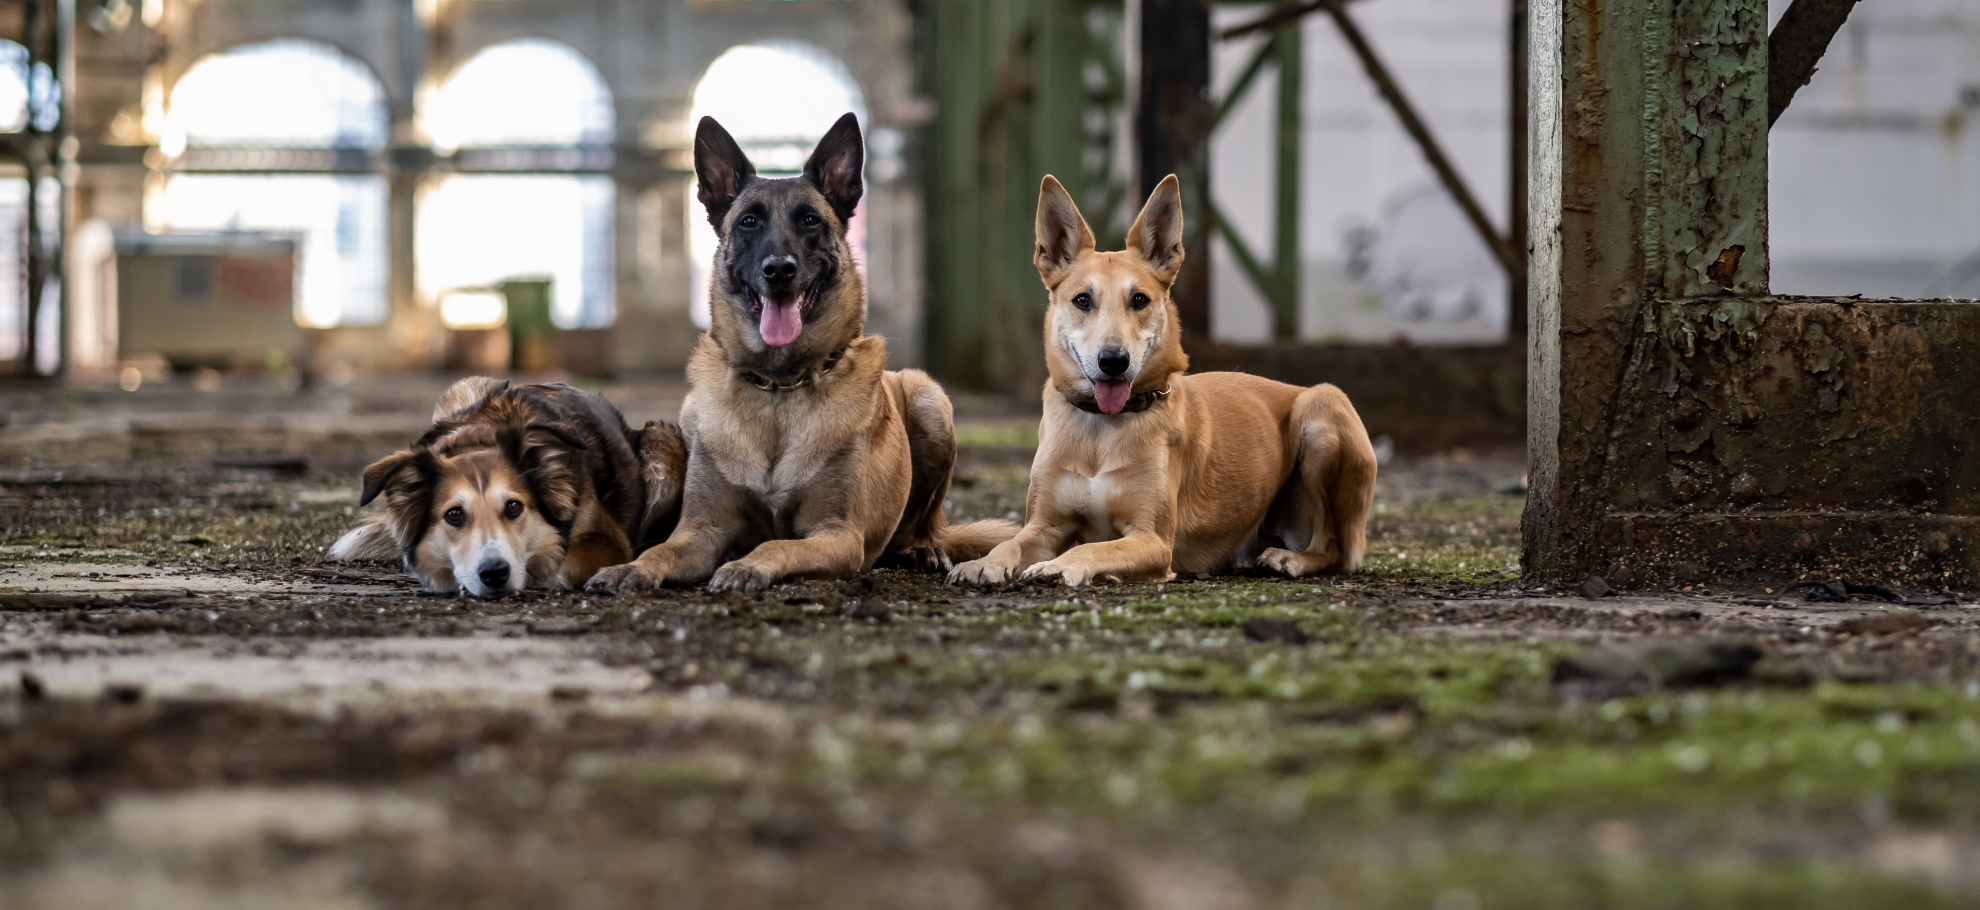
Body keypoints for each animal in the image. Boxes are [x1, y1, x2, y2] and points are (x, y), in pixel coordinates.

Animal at [332, 375, 689, 597]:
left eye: (514, 507)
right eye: (454, 515)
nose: (493, 573)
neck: (481, 436)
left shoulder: (608, 541)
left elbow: (561, 560)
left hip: (663, 441)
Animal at [578, 111, 1013, 597]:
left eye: (809, 220)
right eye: (749, 221)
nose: (779, 270)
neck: (779, 388)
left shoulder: (837, 535)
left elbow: (775, 544)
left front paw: (745, 566)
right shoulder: (701, 530)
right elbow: (660, 551)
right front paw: (629, 568)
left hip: (929, 399)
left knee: (925, 523)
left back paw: (923, 548)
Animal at [946, 176, 1378, 589]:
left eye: (1139, 299)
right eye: (1083, 300)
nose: (1113, 361)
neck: (1103, 428)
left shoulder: (1152, 539)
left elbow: (1092, 548)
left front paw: (1058, 566)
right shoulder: (1045, 524)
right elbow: (1010, 542)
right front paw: (981, 563)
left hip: (1321, 409)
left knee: (1331, 546)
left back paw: (1290, 559)